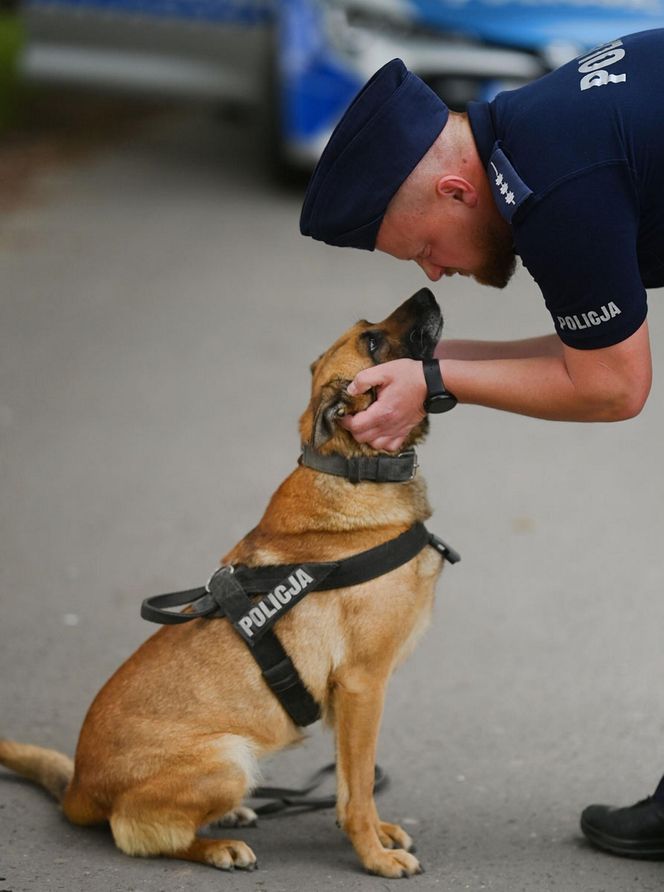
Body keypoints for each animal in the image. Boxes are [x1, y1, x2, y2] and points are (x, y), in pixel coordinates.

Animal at [0, 288, 452, 880]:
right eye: (373, 341)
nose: (428, 291)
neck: (352, 469)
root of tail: (78, 787)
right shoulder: (362, 687)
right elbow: (357, 791)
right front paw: (374, 856)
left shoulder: (349, 701)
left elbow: (349, 786)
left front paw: (377, 835)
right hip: (229, 760)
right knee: (137, 831)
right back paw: (217, 846)